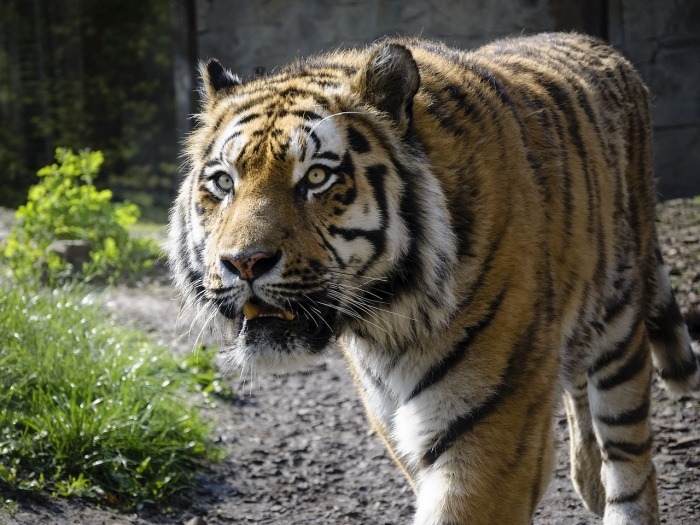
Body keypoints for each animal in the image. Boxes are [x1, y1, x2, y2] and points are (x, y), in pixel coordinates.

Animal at [167, 32, 696, 524]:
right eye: (223, 182)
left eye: (317, 178)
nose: (243, 262)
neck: (390, 317)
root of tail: (599, 45)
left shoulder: (492, 428)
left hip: (619, 320)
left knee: (629, 450)